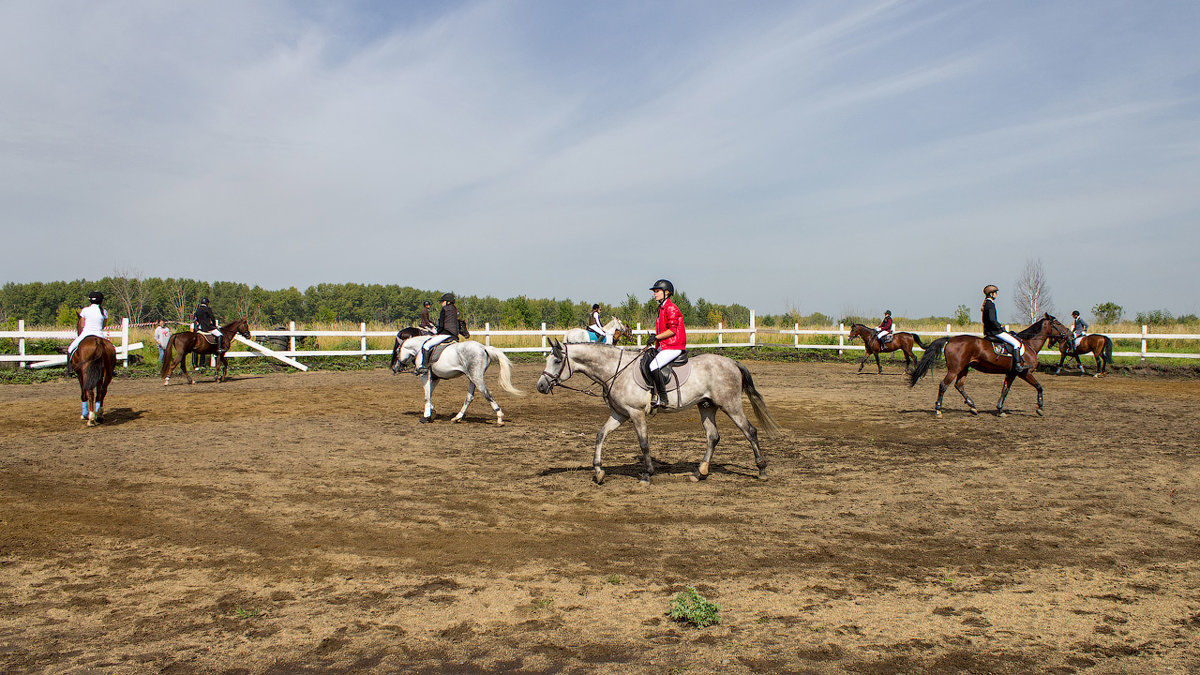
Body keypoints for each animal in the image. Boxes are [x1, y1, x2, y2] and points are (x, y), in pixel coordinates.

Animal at [391, 333, 523, 422]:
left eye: (397, 350)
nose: (394, 369)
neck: (419, 349)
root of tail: (484, 348)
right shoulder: (435, 377)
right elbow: (429, 393)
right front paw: (432, 411)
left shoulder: (425, 375)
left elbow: (426, 395)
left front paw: (427, 416)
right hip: (471, 377)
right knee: (469, 397)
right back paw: (457, 417)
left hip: (476, 377)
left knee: (487, 393)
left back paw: (499, 418)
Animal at [535, 338, 777, 480]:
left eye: (557, 361)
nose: (540, 386)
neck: (614, 369)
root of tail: (732, 362)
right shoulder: (620, 414)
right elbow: (600, 435)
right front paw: (598, 471)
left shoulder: (635, 413)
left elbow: (644, 443)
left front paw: (647, 474)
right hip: (707, 406)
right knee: (713, 436)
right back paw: (700, 472)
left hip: (730, 405)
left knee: (750, 431)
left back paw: (762, 470)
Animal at [907, 314, 1070, 415]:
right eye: (1058, 323)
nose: (1069, 333)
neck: (1029, 344)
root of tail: (950, 339)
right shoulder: (1025, 373)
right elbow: (1039, 387)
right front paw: (1040, 408)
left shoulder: (1012, 373)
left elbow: (1005, 390)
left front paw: (1000, 409)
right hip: (955, 369)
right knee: (943, 385)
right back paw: (938, 409)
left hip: (964, 368)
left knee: (959, 385)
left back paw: (972, 406)